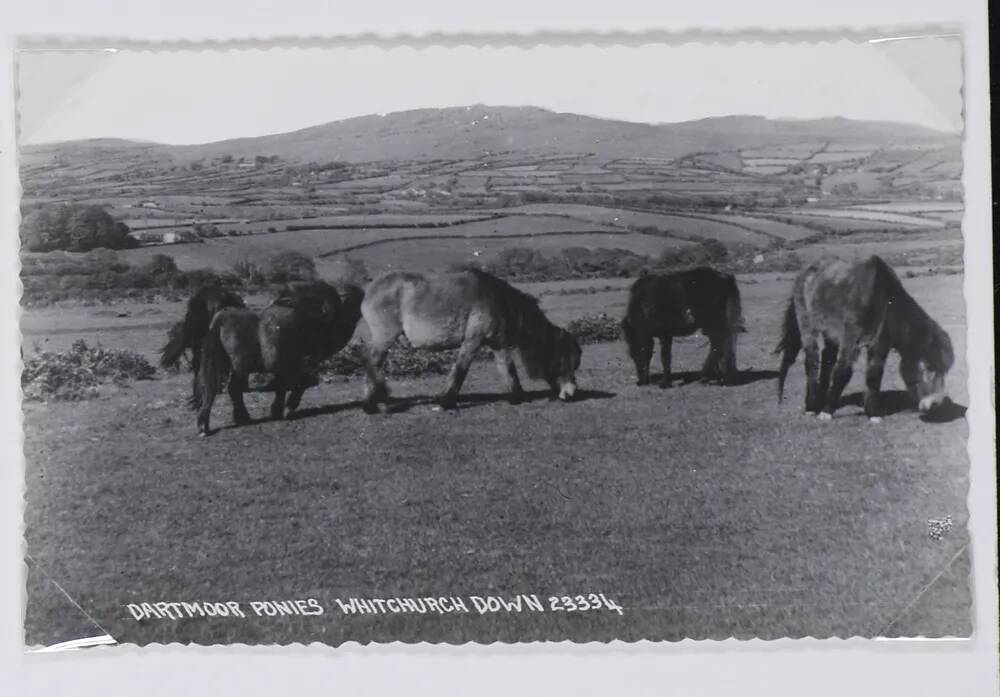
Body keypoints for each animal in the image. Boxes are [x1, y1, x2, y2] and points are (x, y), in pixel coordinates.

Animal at [193, 278, 366, 436]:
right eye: (351, 303)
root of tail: (220, 320)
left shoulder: (283, 369)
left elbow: (282, 387)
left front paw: (276, 411)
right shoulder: (295, 365)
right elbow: (304, 382)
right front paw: (287, 409)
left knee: (210, 389)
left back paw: (204, 425)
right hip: (240, 367)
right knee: (234, 389)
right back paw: (243, 418)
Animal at [360, 268, 584, 414]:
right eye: (563, 359)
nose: (571, 393)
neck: (496, 299)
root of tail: (369, 290)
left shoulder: (497, 344)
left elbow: (508, 369)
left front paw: (517, 397)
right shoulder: (472, 341)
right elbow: (461, 370)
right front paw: (446, 401)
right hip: (385, 338)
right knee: (370, 362)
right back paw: (374, 402)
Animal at [620, 266, 748, 386]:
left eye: (636, 352)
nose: (641, 382)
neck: (642, 305)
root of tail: (726, 278)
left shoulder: (663, 334)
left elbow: (664, 357)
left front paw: (665, 383)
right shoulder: (667, 335)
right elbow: (667, 356)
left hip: (714, 325)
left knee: (719, 345)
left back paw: (705, 376)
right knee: (720, 346)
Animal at [772, 254, 952, 422]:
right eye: (929, 368)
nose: (936, 404)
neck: (882, 299)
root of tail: (806, 270)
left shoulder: (879, 344)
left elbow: (874, 375)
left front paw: (873, 414)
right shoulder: (851, 339)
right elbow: (843, 372)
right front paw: (827, 412)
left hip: (831, 333)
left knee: (827, 359)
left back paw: (821, 400)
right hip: (808, 325)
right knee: (812, 362)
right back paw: (812, 406)